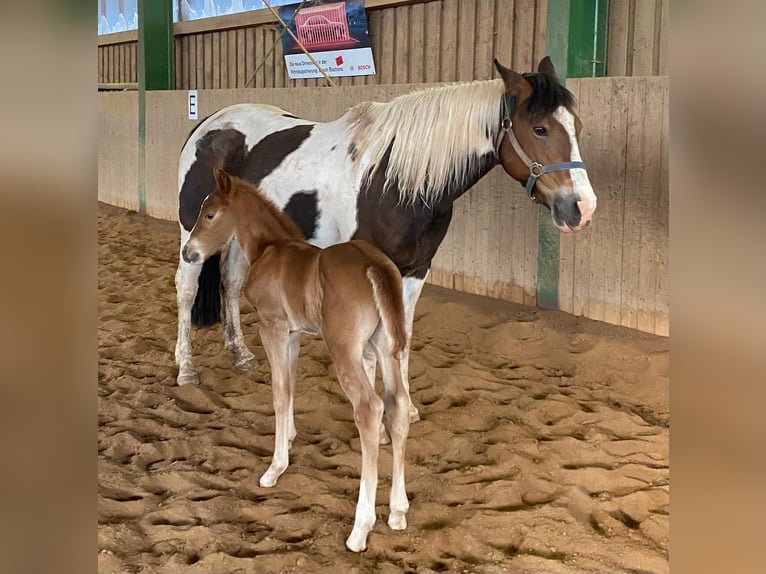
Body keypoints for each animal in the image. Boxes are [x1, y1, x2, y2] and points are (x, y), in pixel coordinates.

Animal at [174, 57, 598, 421]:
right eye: (540, 128)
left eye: (576, 126)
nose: (582, 207)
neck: (395, 180)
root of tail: (208, 124)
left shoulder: (415, 271)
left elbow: (400, 338)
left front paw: (403, 408)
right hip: (192, 232)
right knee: (186, 289)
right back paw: (186, 370)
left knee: (230, 283)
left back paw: (242, 355)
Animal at [182, 167, 410, 552]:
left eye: (209, 214)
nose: (189, 252)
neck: (268, 250)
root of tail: (374, 266)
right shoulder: (292, 334)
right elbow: (289, 385)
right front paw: (288, 438)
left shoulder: (271, 327)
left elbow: (278, 391)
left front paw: (275, 468)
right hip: (385, 348)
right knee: (398, 407)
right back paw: (397, 511)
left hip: (345, 349)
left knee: (370, 409)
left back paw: (360, 529)